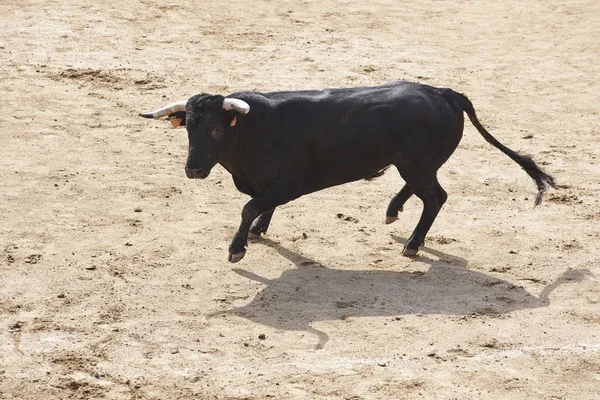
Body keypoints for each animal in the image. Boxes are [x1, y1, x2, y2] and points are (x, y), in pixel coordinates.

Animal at [138, 80, 556, 262]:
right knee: (421, 189)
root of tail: (443, 92)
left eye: (215, 130)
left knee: (435, 197)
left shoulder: (289, 183)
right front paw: (256, 232)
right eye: (188, 128)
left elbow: (251, 206)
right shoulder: (268, 183)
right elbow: (259, 205)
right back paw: (392, 212)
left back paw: (412, 244)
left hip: (417, 163)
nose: (193, 170)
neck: (254, 130)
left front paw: (237, 247)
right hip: (415, 163)